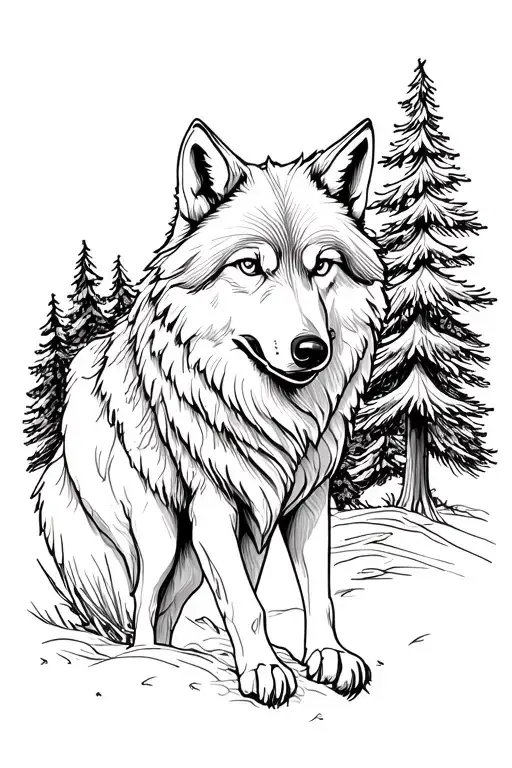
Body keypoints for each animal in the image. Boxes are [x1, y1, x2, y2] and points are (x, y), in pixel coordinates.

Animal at [35, 118, 386, 707]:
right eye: (249, 266)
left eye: (323, 266)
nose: (311, 350)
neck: (266, 412)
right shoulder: (213, 508)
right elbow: (248, 605)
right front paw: (264, 669)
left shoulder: (309, 501)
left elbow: (316, 591)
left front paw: (327, 655)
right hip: (156, 533)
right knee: (143, 605)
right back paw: (149, 659)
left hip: (212, 550)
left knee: (173, 605)